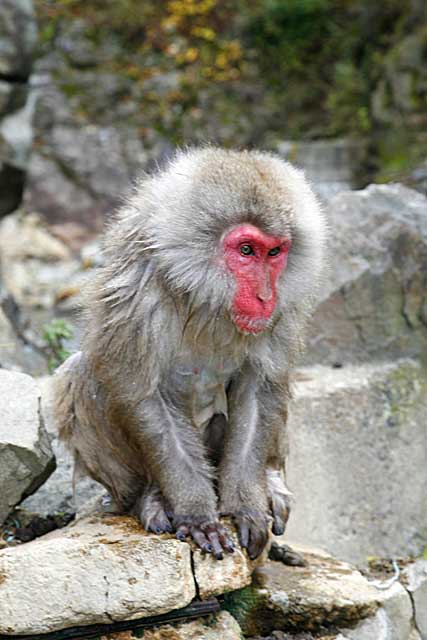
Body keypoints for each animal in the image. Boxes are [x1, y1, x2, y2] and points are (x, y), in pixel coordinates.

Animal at [54, 146, 328, 560]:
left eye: (275, 252)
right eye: (246, 250)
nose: (265, 296)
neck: (206, 295)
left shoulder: (285, 307)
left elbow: (259, 390)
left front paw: (246, 504)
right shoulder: (138, 288)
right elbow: (143, 394)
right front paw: (196, 513)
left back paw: (270, 481)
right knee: (81, 373)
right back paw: (148, 497)